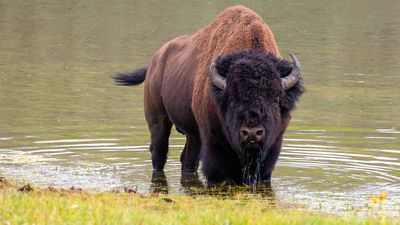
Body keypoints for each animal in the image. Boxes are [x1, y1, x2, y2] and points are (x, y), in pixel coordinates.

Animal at [112, 5, 304, 185]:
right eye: (232, 99)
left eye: (275, 99)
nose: (252, 133)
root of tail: (156, 59)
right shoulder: (213, 143)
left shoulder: (273, 146)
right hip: (158, 121)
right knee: (159, 153)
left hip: (193, 135)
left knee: (187, 160)